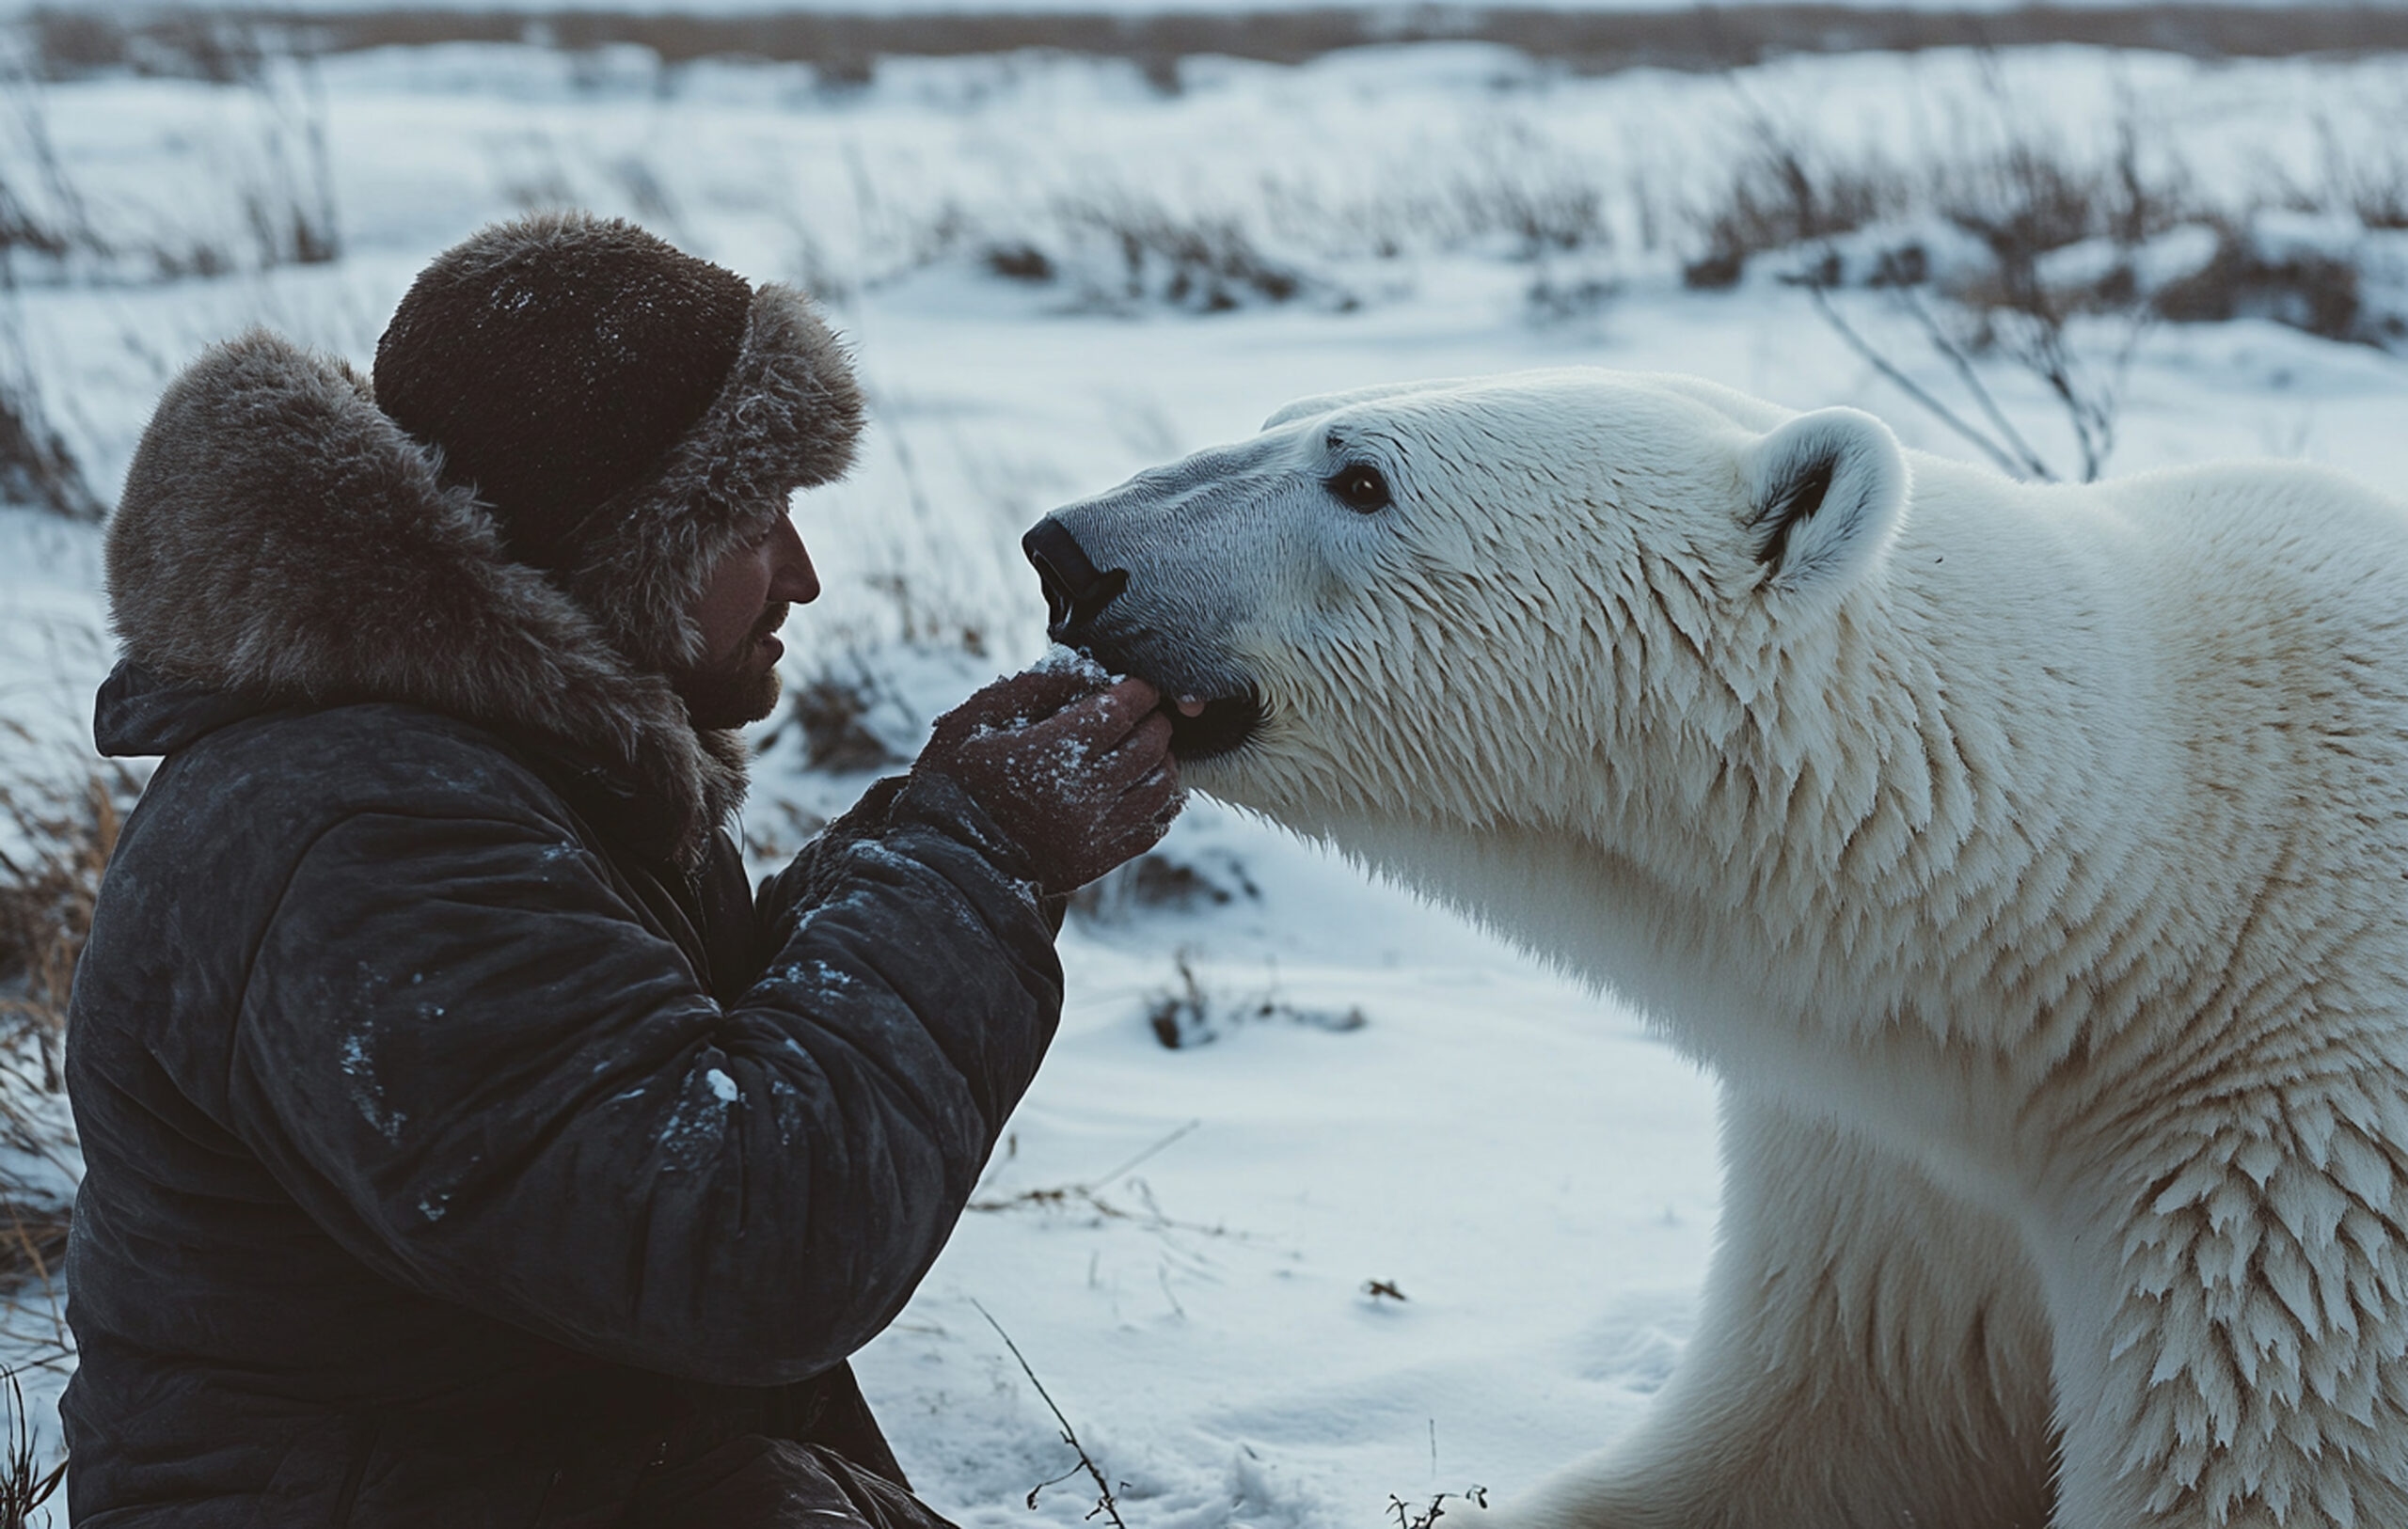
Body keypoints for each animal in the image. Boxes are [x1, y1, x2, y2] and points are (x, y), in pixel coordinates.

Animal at [1025, 370, 2408, 1529]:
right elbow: (1829, 1433)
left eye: (1361, 477)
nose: (1068, 550)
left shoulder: (2285, 1185)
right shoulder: (1890, 1177)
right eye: (1282, 412)